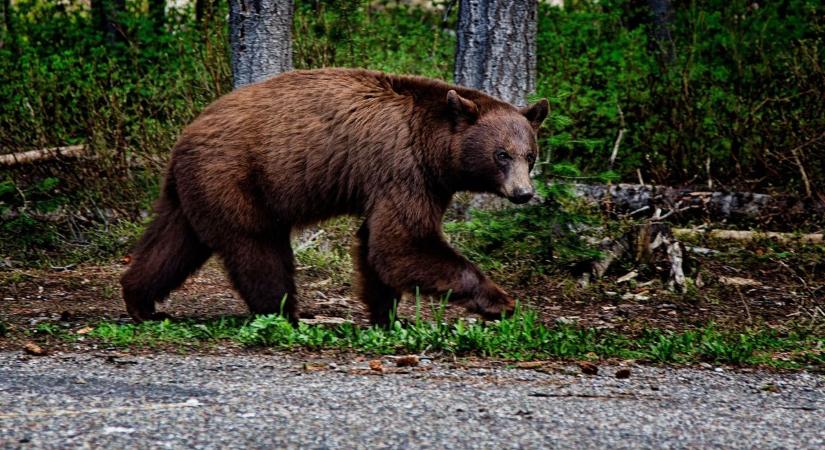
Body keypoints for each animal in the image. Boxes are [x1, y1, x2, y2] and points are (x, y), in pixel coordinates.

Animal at [120, 67, 548, 324]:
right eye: (501, 154)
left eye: (530, 155)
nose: (523, 193)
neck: (432, 144)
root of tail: (185, 135)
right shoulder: (402, 170)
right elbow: (402, 243)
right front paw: (501, 301)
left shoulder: (425, 182)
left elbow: (378, 247)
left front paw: (386, 316)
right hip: (234, 177)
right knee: (257, 247)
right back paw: (284, 314)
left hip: (191, 189)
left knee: (174, 242)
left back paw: (141, 302)